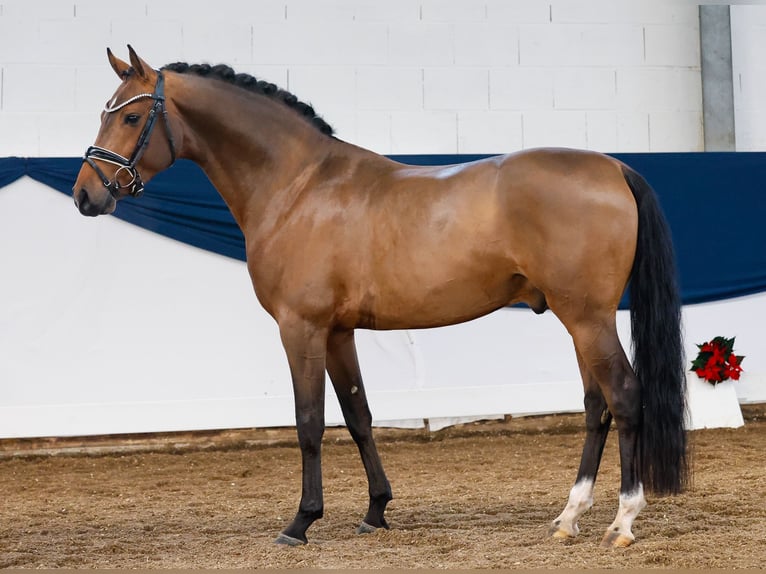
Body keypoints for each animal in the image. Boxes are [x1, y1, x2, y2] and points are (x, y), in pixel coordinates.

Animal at [75, 47, 692, 552]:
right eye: (107, 111)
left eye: (131, 116)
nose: (85, 195)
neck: (299, 186)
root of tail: (615, 166)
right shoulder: (338, 331)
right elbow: (359, 415)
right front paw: (375, 512)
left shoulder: (300, 327)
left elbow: (309, 421)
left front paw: (301, 522)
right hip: (579, 320)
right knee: (595, 406)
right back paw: (569, 517)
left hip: (587, 317)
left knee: (625, 396)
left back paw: (622, 521)